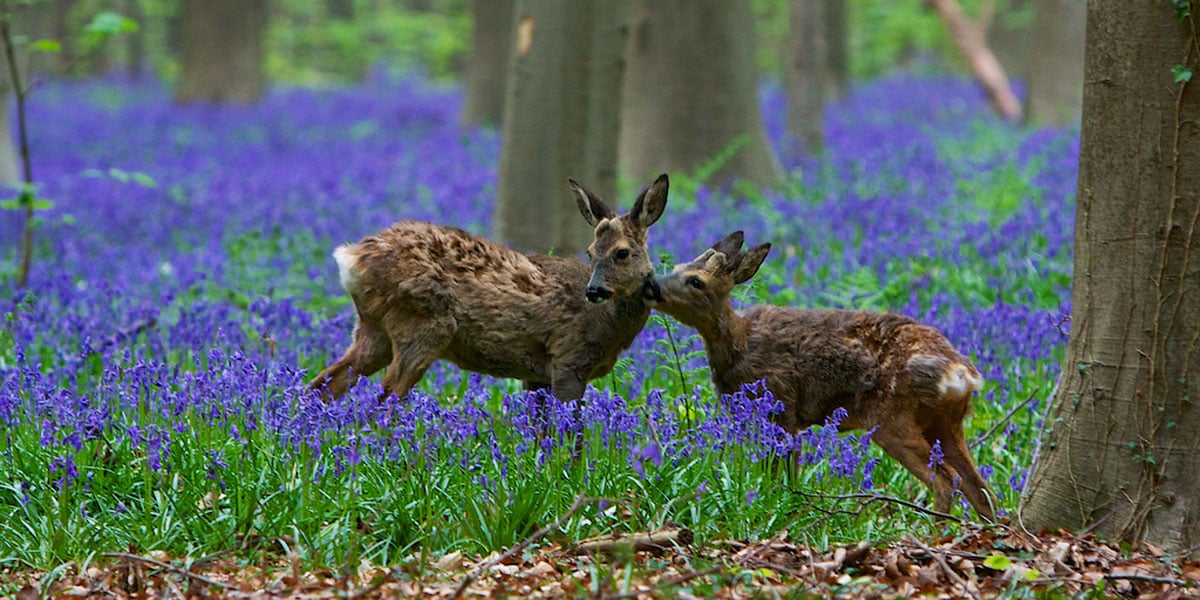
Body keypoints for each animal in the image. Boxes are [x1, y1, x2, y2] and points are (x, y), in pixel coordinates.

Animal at [309, 175, 672, 405]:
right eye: (590, 251)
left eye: (621, 252)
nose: (594, 291)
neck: (607, 325)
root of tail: (353, 258)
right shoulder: (568, 359)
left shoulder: (536, 374)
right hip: (422, 325)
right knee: (383, 404)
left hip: (374, 331)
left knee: (319, 386)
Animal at [648, 231, 993, 518]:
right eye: (676, 266)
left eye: (696, 281)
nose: (651, 285)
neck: (739, 346)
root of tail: (961, 372)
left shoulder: (781, 406)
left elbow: (781, 472)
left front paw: (778, 505)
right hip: (946, 424)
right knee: (980, 489)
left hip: (891, 419)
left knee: (947, 481)